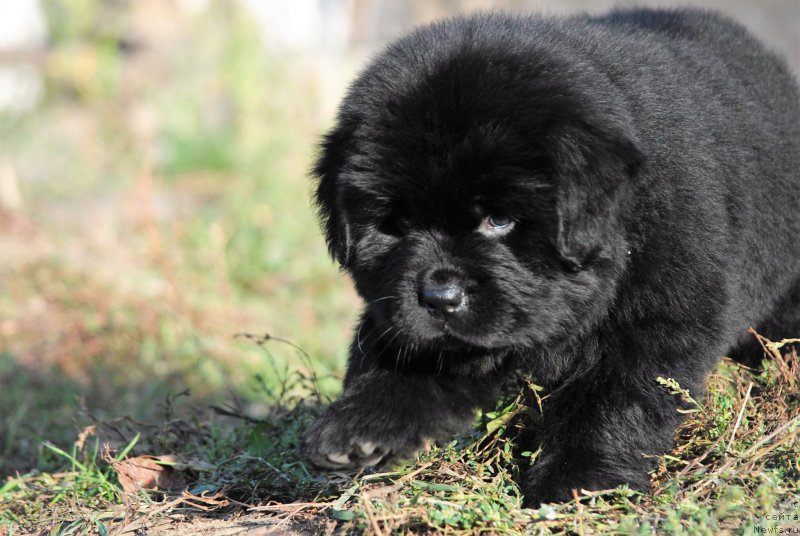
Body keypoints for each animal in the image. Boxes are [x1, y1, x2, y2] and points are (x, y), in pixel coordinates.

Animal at [302, 7, 800, 506]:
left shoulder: (660, 311)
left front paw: (580, 482)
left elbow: (614, 398)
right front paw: (361, 427)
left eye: (499, 219)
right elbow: (407, 354)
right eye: (398, 223)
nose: (439, 298)